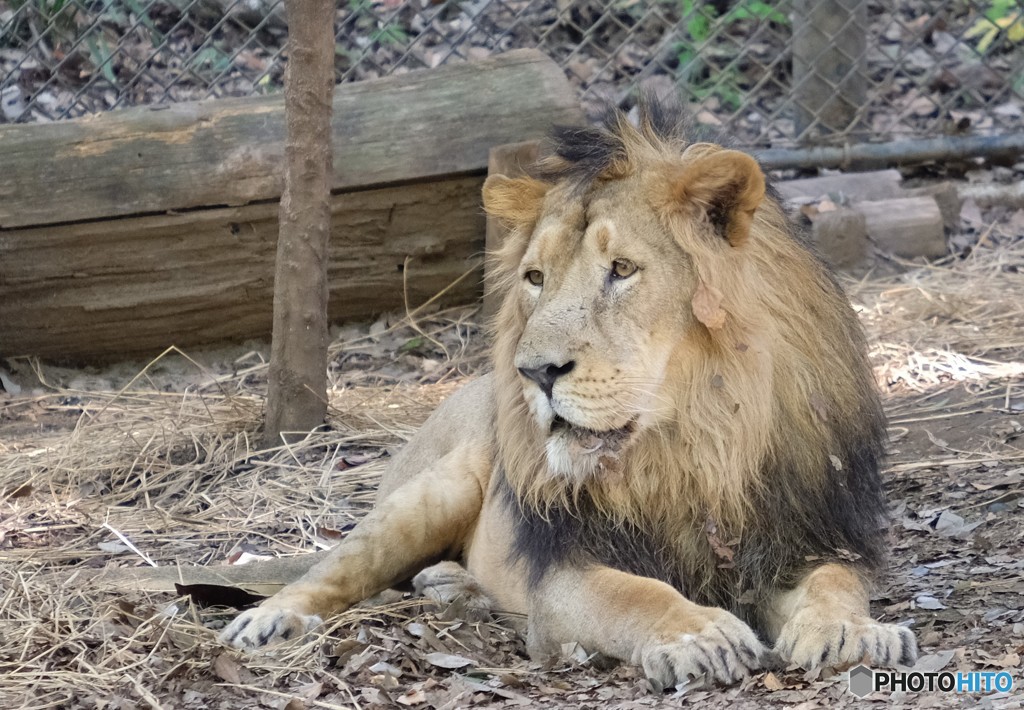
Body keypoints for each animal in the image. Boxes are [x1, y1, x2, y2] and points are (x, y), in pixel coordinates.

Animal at [218, 99, 921, 688]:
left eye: (623, 269)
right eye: (535, 278)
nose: (535, 372)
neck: (695, 449)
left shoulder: (801, 537)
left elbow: (837, 581)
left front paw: (851, 633)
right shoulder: (562, 573)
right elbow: (635, 594)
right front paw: (701, 634)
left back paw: (457, 588)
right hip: (433, 491)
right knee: (335, 567)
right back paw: (273, 619)